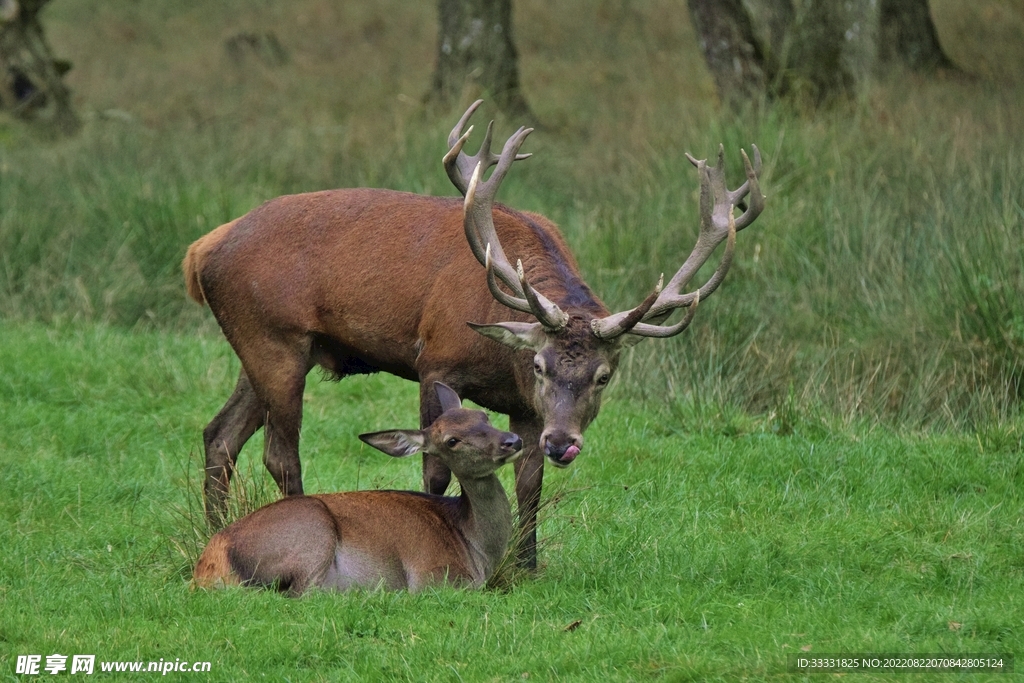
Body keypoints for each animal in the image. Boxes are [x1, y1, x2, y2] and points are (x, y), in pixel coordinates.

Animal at [182, 100, 765, 569]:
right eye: (540, 365)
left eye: (603, 376)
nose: (564, 442)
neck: (500, 357)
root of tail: (201, 249)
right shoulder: (435, 361)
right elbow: (434, 466)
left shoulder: (526, 409)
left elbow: (530, 481)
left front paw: (526, 563)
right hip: (274, 337)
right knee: (279, 452)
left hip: (268, 348)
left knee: (220, 434)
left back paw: (216, 530)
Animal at [193, 383, 523, 595]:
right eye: (452, 440)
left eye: (484, 416)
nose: (512, 440)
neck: (475, 549)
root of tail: (209, 565)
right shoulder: (435, 577)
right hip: (312, 532)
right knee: (301, 593)